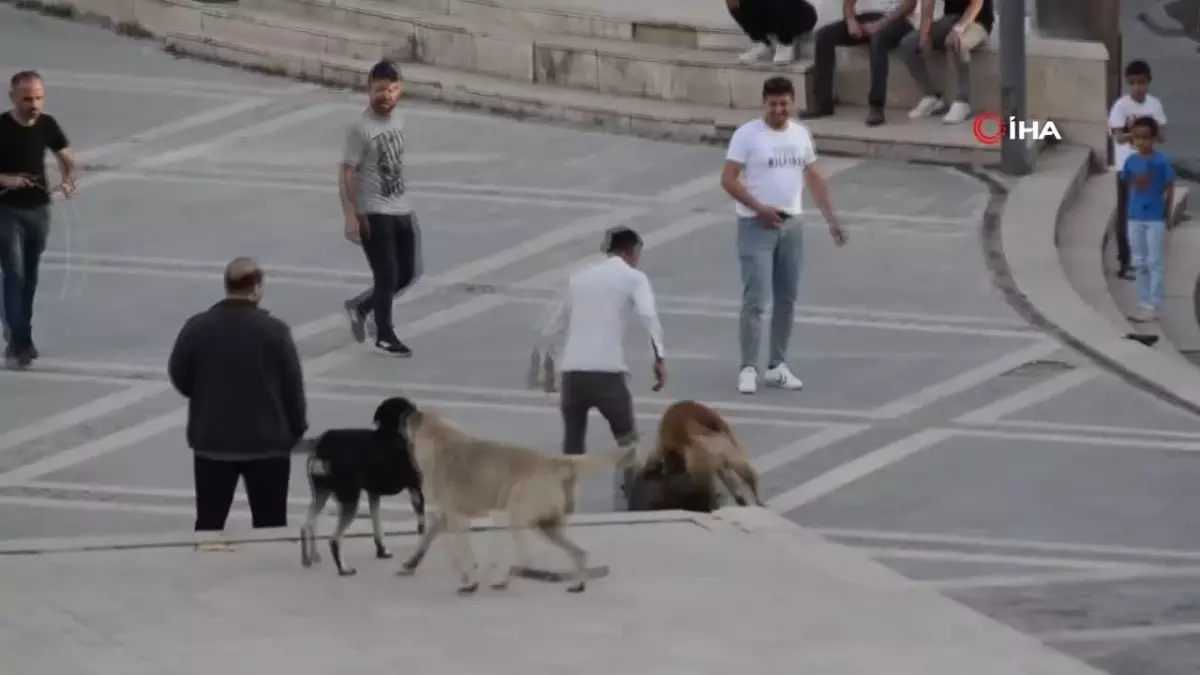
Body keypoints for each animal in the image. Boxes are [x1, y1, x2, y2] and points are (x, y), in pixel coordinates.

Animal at [296, 393, 424, 571]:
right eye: (410, 409)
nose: (422, 414)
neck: (391, 434)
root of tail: (321, 449)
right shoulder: (415, 488)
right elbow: (421, 522)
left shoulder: (373, 493)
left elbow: (377, 525)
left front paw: (381, 551)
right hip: (349, 497)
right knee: (334, 539)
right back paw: (343, 568)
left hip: (322, 491)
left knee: (309, 524)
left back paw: (309, 558)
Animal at [393, 403, 638, 588]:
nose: (408, 412)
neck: (441, 438)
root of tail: (558, 461)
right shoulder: (446, 516)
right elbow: (430, 538)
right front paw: (411, 564)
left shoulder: (454, 517)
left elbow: (461, 550)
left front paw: (468, 580)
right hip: (545, 524)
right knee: (578, 553)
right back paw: (578, 584)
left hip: (518, 515)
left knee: (525, 557)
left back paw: (503, 579)